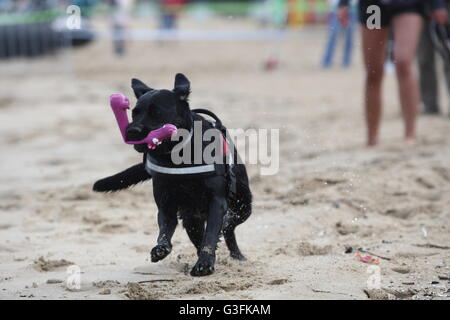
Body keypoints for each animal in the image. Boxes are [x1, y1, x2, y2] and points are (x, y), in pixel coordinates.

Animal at [92, 74, 251, 276]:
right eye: (134, 112)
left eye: (157, 112)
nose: (131, 131)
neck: (178, 155)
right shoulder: (166, 204)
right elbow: (165, 231)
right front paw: (161, 249)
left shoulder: (217, 201)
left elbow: (211, 234)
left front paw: (204, 264)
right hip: (192, 219)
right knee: (202, 235)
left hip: (243, 203)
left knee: (229, 227)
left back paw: (237, 257)